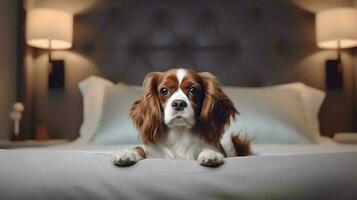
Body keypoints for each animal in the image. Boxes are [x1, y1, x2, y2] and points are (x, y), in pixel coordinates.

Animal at [112, 69, 250, 167]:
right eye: (164, 90)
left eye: (193, 90)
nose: (178, 103)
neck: (179, 133)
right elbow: (139, 148)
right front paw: (125, 153)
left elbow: (210, 150)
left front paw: (211, 154)